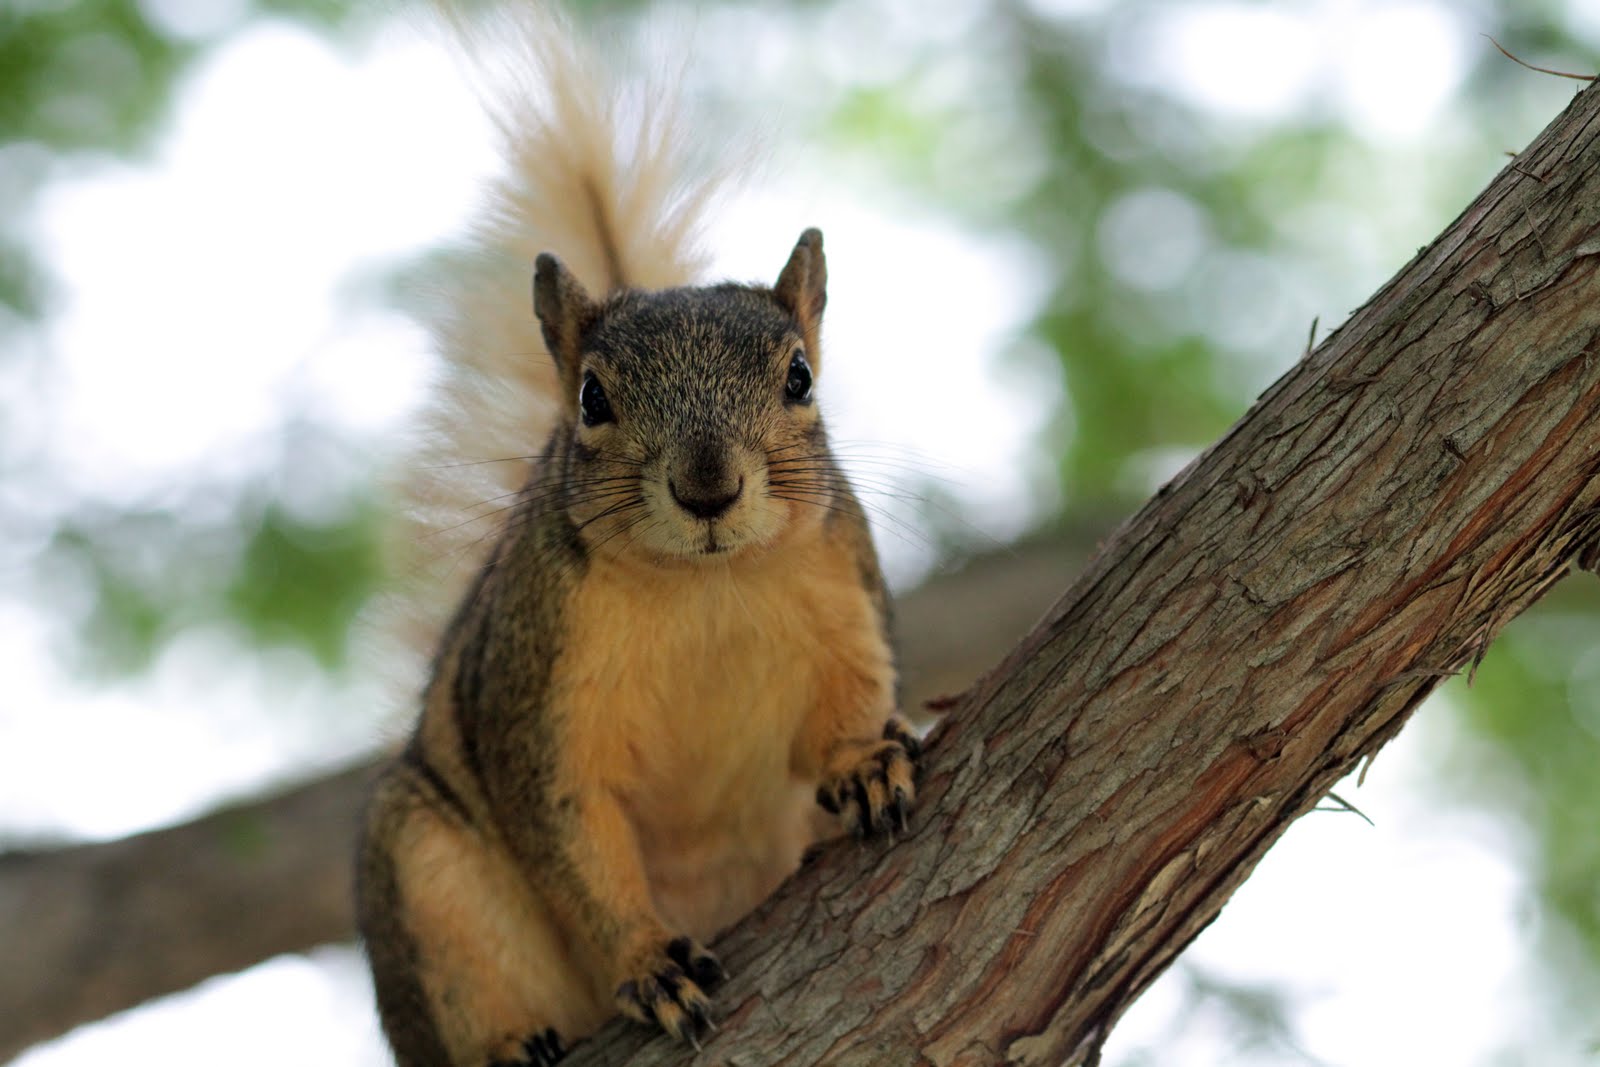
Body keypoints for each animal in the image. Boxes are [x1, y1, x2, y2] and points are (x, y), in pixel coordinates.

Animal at [355, 9, 920, 1066]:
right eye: (590, 398)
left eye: (800, 377)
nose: (708, 487)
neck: (706, 588)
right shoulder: (539, 692)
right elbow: (576, 839)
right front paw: (649, 959)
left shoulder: (844, 597)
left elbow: (848, 702)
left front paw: (866, 757)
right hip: (424, 870)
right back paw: (508, 1043)